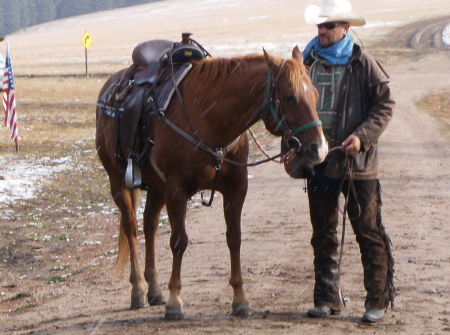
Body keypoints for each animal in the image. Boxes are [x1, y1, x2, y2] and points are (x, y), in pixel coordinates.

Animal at [96, 46, 326, 320]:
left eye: (315, 94)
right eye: (290, 98)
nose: (319, 148)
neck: (210, 119)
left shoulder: (236, 188)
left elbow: (234, 238)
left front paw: (240, 299)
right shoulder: (176, 191)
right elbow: (179, 242)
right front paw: (175, 301)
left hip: (156, 188)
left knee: (149, 225)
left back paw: (154, 290)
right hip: (118, 182)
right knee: (131, 228)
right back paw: (139, 290)